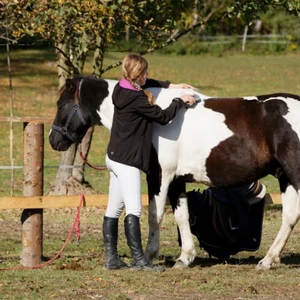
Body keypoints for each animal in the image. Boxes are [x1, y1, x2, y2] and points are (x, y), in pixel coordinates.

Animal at [49, 74, 300, 270]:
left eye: (60, 105)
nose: (54, 140)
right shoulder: (178, 180)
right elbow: (182, 215)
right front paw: (185, 258)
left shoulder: (160, 176)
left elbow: (155, 214)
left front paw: (149, 256)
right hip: (285, 177)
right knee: (290, 215)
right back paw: (268, 260)